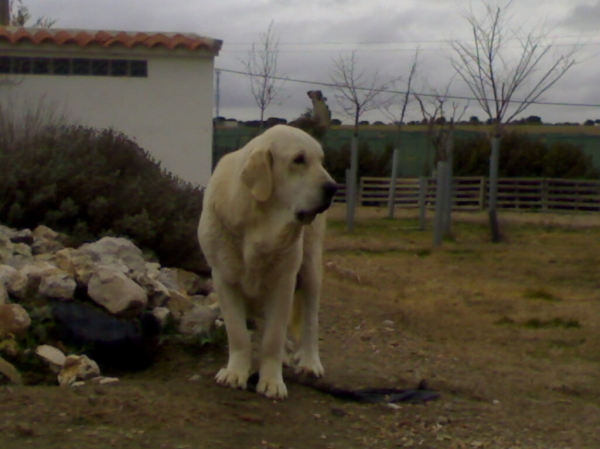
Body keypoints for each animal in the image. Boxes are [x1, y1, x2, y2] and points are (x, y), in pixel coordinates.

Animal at [198, 124, 336, 398]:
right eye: (298, 159)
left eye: (321, 161)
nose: (333, 188)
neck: (258, 224)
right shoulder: (224, 280)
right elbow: (238, 333)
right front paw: (235, 373)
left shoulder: (283, 281)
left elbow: (273, 336)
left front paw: (272, 381)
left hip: (311, 269)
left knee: (310, 321)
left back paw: (309, 362)